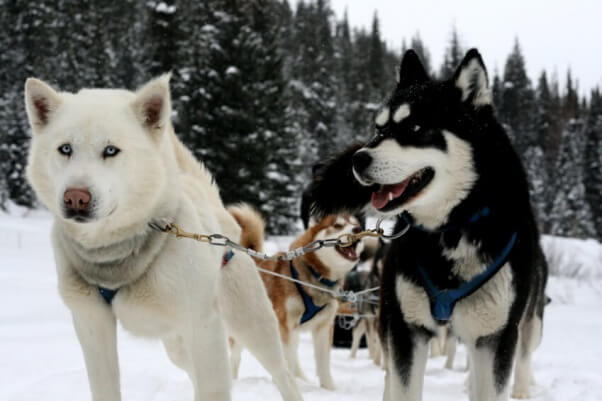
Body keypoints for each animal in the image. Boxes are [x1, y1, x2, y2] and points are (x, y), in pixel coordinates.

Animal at [227, 208, 364, 390]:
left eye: (356, 224)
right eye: (337, 225)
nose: (358, 230)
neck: (315, 273)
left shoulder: (323, 327)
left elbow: (323, 363)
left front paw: (329, 389)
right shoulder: (285, 325)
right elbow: (287, 359)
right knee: (235, 357)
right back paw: (234, 382)